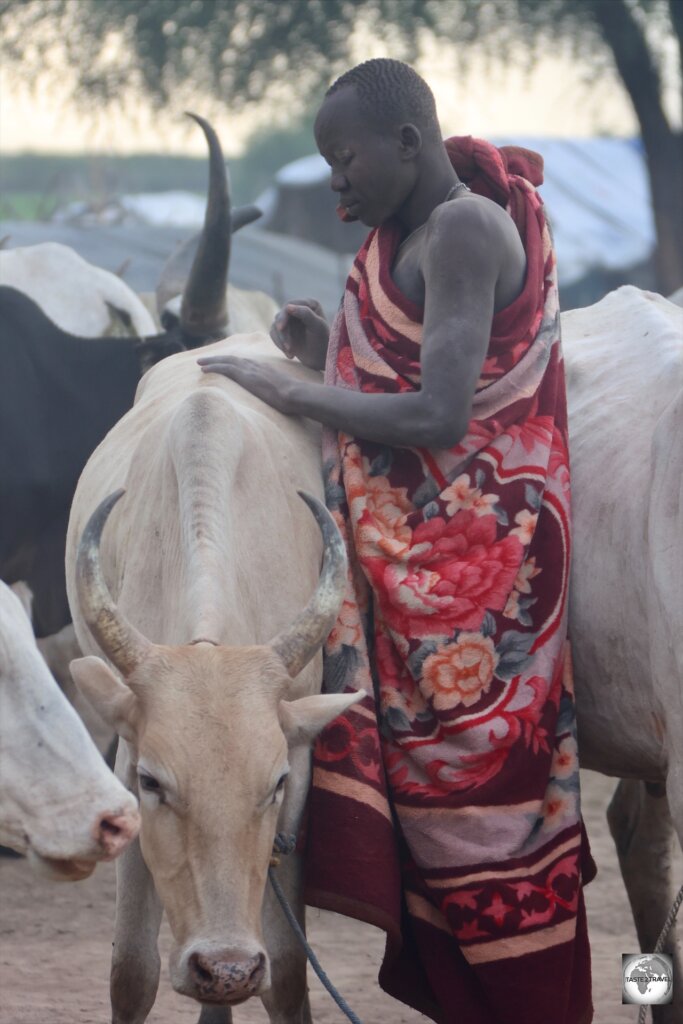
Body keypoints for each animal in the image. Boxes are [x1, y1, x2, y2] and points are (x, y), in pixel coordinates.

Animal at [66, 333, 360, 1015]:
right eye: (153, 783)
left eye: (275, 784)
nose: (226, 967)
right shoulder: (126, 757)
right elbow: (131, 973)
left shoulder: (299, 772)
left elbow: (287, 972)